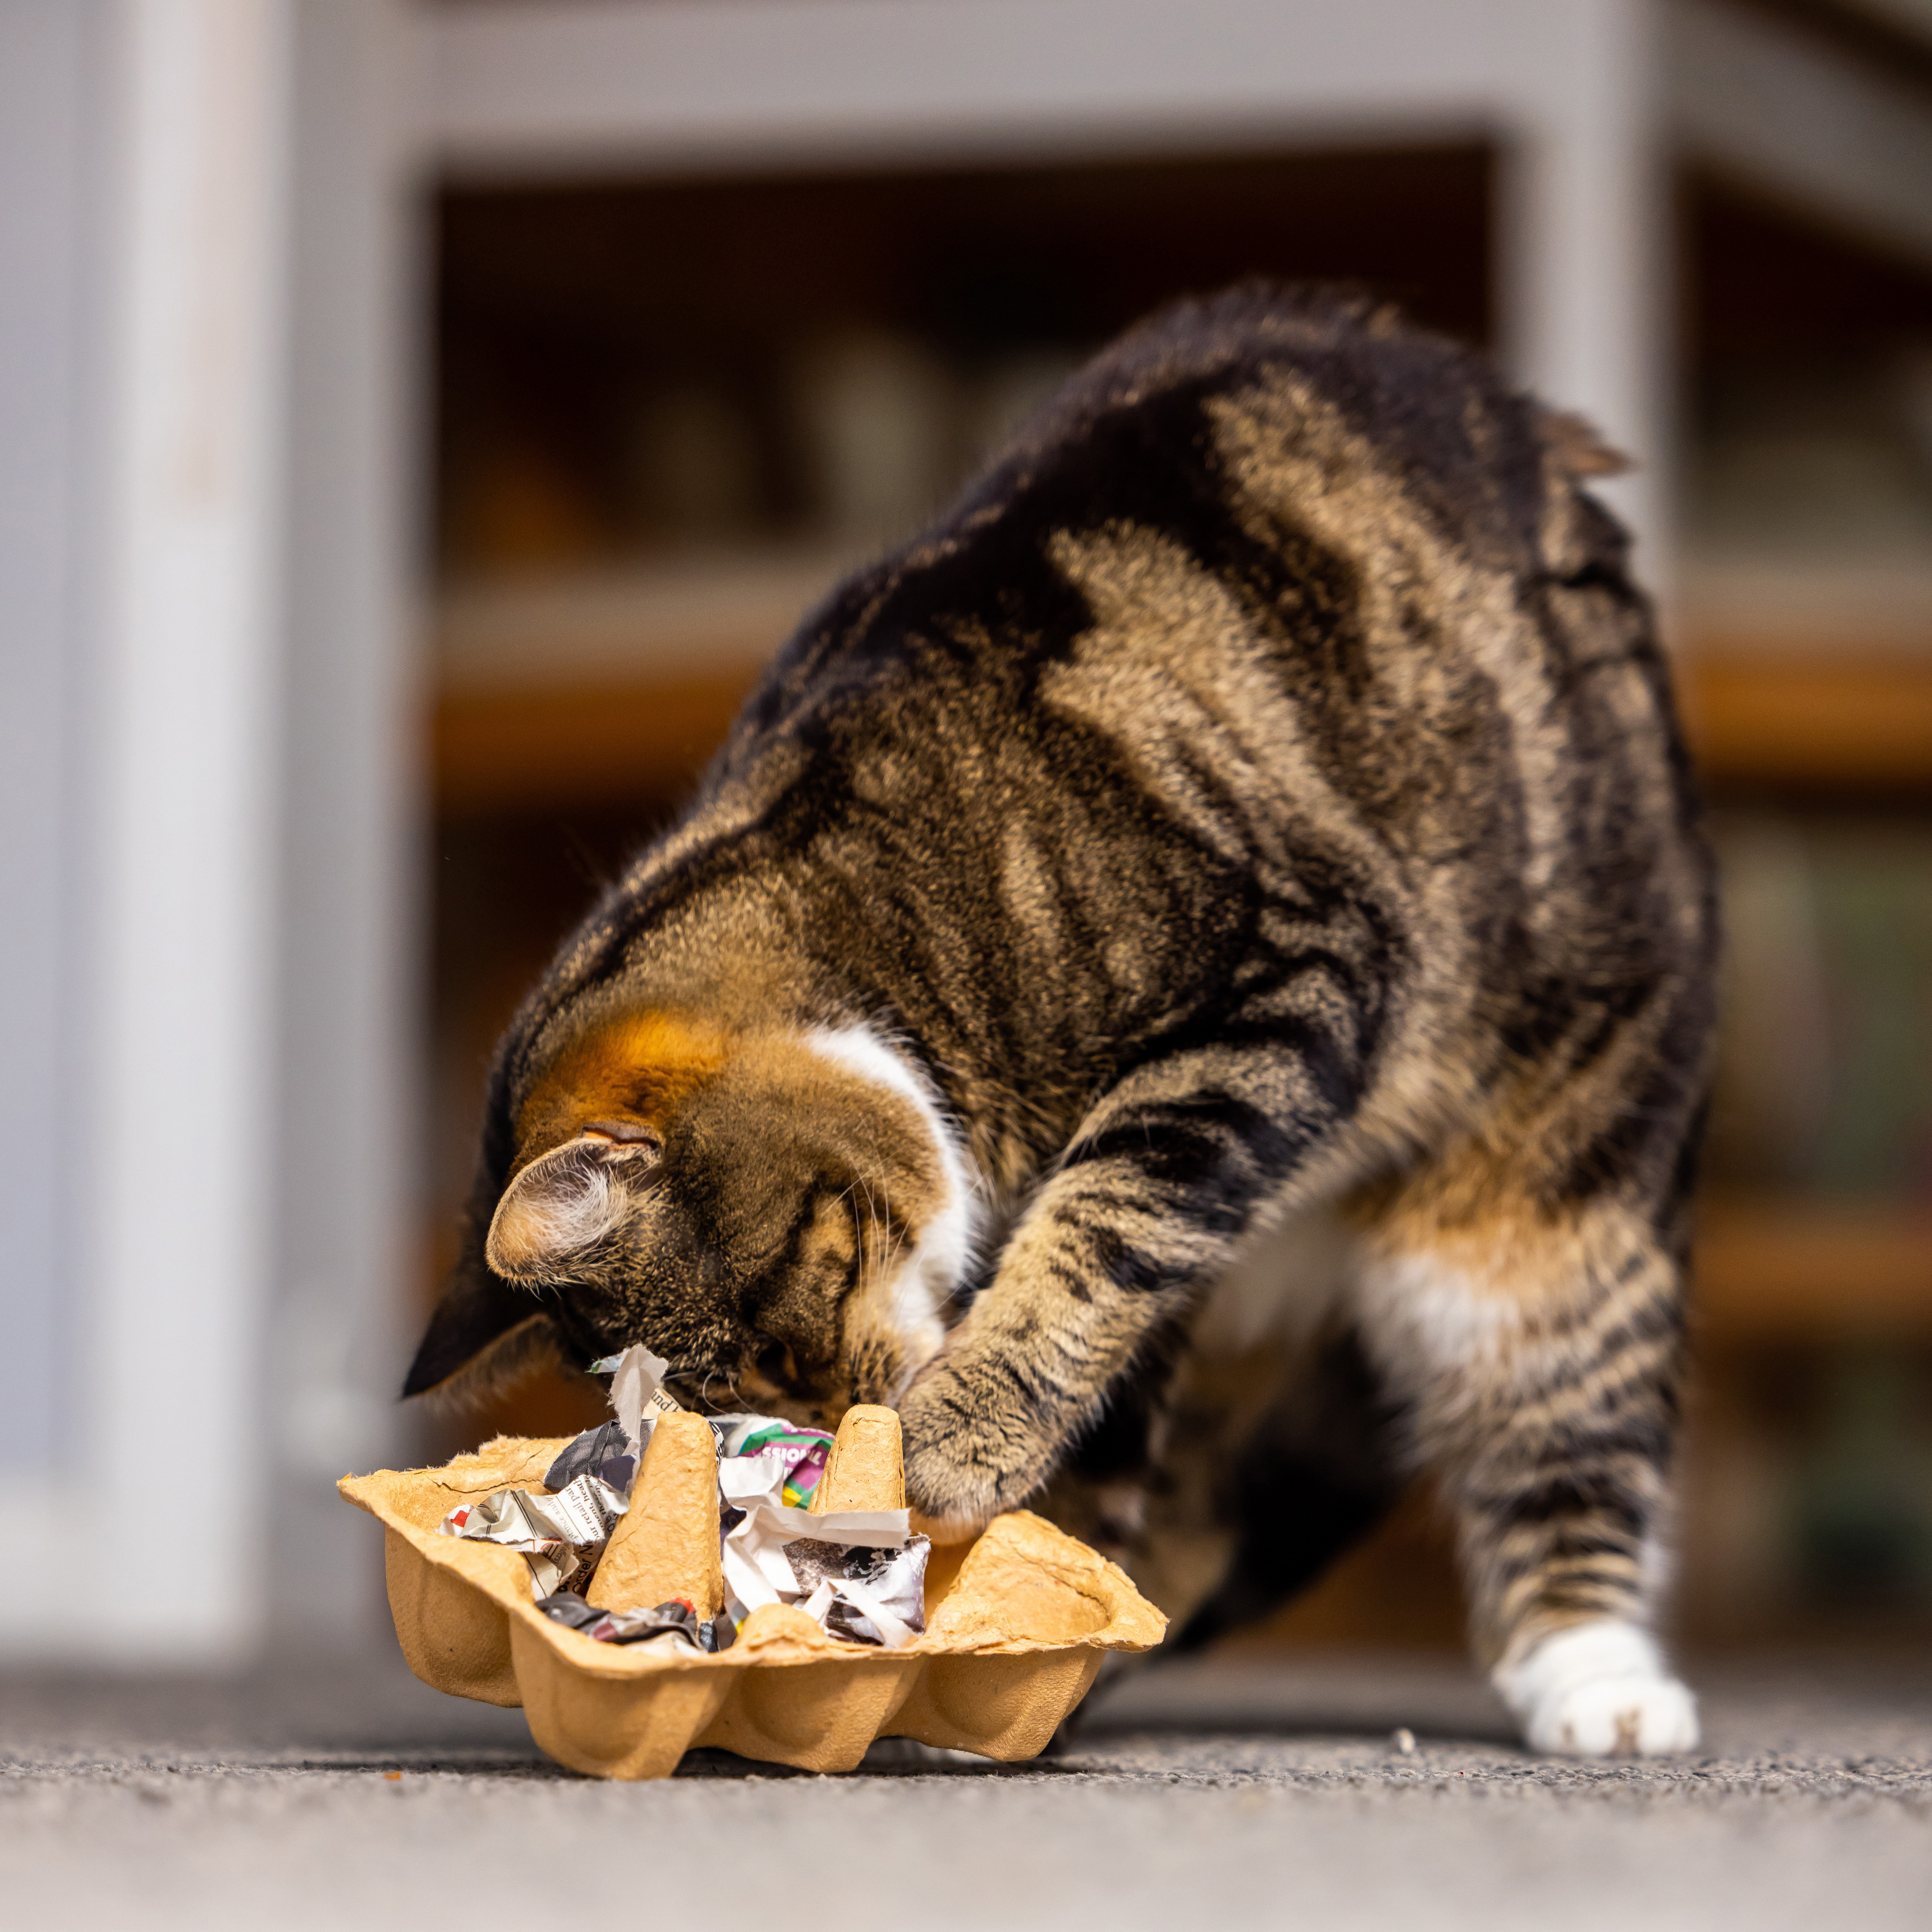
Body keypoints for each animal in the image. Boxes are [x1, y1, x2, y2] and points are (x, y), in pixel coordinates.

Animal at [411, 282, 1723, 1754]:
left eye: (777, 1329)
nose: (846, 1422)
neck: (884, 913)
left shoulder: (1286, 975)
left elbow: (1097, 1234)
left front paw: (949, 1468)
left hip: (1551, 1192)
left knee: (1562, 1432)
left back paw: (1599, 1683)